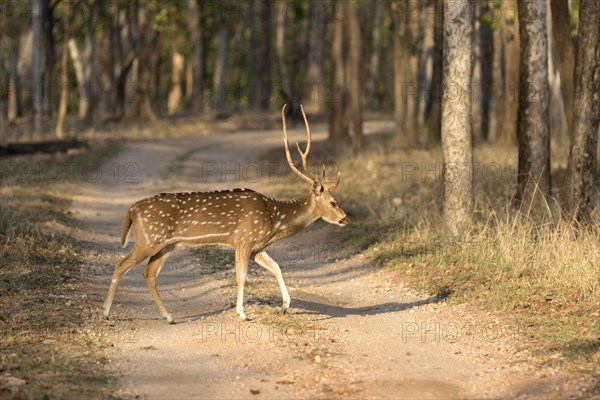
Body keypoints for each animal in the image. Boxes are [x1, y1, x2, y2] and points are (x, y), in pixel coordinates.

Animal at [102, 104, 346, 324]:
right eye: (333, 202)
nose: (345, 218)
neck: (275, 219)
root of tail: (132, 209)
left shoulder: (257, 247)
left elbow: (276, 267)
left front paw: (285, 306)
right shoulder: (244, 240)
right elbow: (242, 275)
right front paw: (242, 314)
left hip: (165, 245)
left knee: (149, 273)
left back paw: (169, 317)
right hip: (149, 239)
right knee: (122, 264)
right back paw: (106, 314)